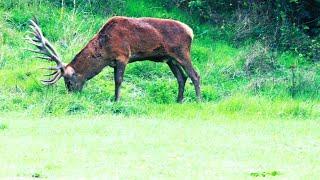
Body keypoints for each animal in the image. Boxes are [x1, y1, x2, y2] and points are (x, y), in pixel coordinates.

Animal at [26, 16, 200, 102]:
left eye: (69, 81)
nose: (71, 96)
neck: (105, 51)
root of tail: (191, 31)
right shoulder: (114, 62)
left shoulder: (123, 56)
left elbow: (118, 80)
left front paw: (116, 100)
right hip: (170, 58)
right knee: (182, 77)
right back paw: (178, 101)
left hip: (182, 53)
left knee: (195, 75)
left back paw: (199, 101)